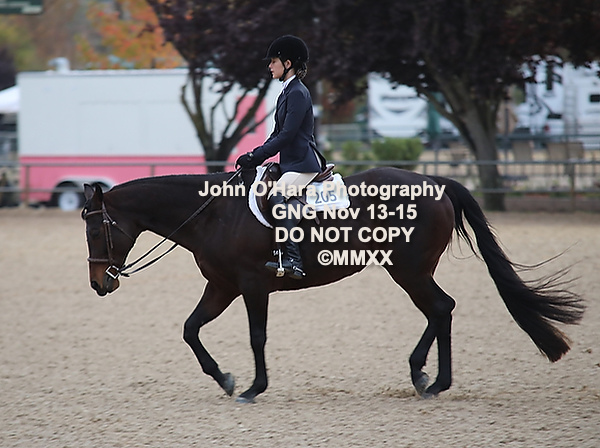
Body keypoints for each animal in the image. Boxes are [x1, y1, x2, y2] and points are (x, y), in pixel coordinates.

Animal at [81, 167, 584, 403]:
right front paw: (225, 378)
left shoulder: (252, 286)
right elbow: (190, 329)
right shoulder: (222, 286)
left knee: (440, 308)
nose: (99, 285)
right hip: (409, 270)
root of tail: (435, 182)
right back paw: (425, 376)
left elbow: (257, 335)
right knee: (440, 309)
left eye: (94, 231)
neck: (213, 214)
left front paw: (253, 388)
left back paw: (433, 380)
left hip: (409, 270)